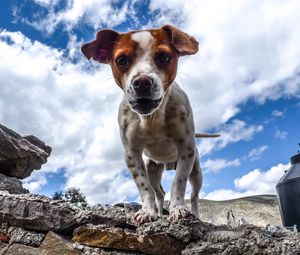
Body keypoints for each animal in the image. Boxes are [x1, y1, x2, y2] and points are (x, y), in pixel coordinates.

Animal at [81, 24, 214, 223]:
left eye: (164, 57)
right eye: (121, 60)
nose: (142, 82)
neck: (152, 118)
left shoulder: (186, 150)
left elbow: (178, 184)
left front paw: (177, 209)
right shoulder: (132, 154)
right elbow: (144, 188)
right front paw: (148, 212)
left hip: (196, 171)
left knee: (194, 195)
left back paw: (195, 214)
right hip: (153, 170)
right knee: (159, 192)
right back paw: (158, 212)